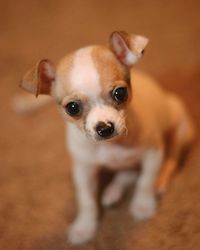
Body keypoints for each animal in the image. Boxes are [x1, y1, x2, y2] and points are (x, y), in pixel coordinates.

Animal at [19, 30, 195, 244]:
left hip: (179, 129)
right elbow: (86, 201)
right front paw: (84, 226)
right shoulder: (84, 170)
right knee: (126, 174)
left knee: (170, 160)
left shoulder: (153, 154)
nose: (104, 128)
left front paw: (143, 205)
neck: (112, 146)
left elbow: (145, 181)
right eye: (72, 108)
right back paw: (113, 191)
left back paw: (158, 182)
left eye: (120, 93)